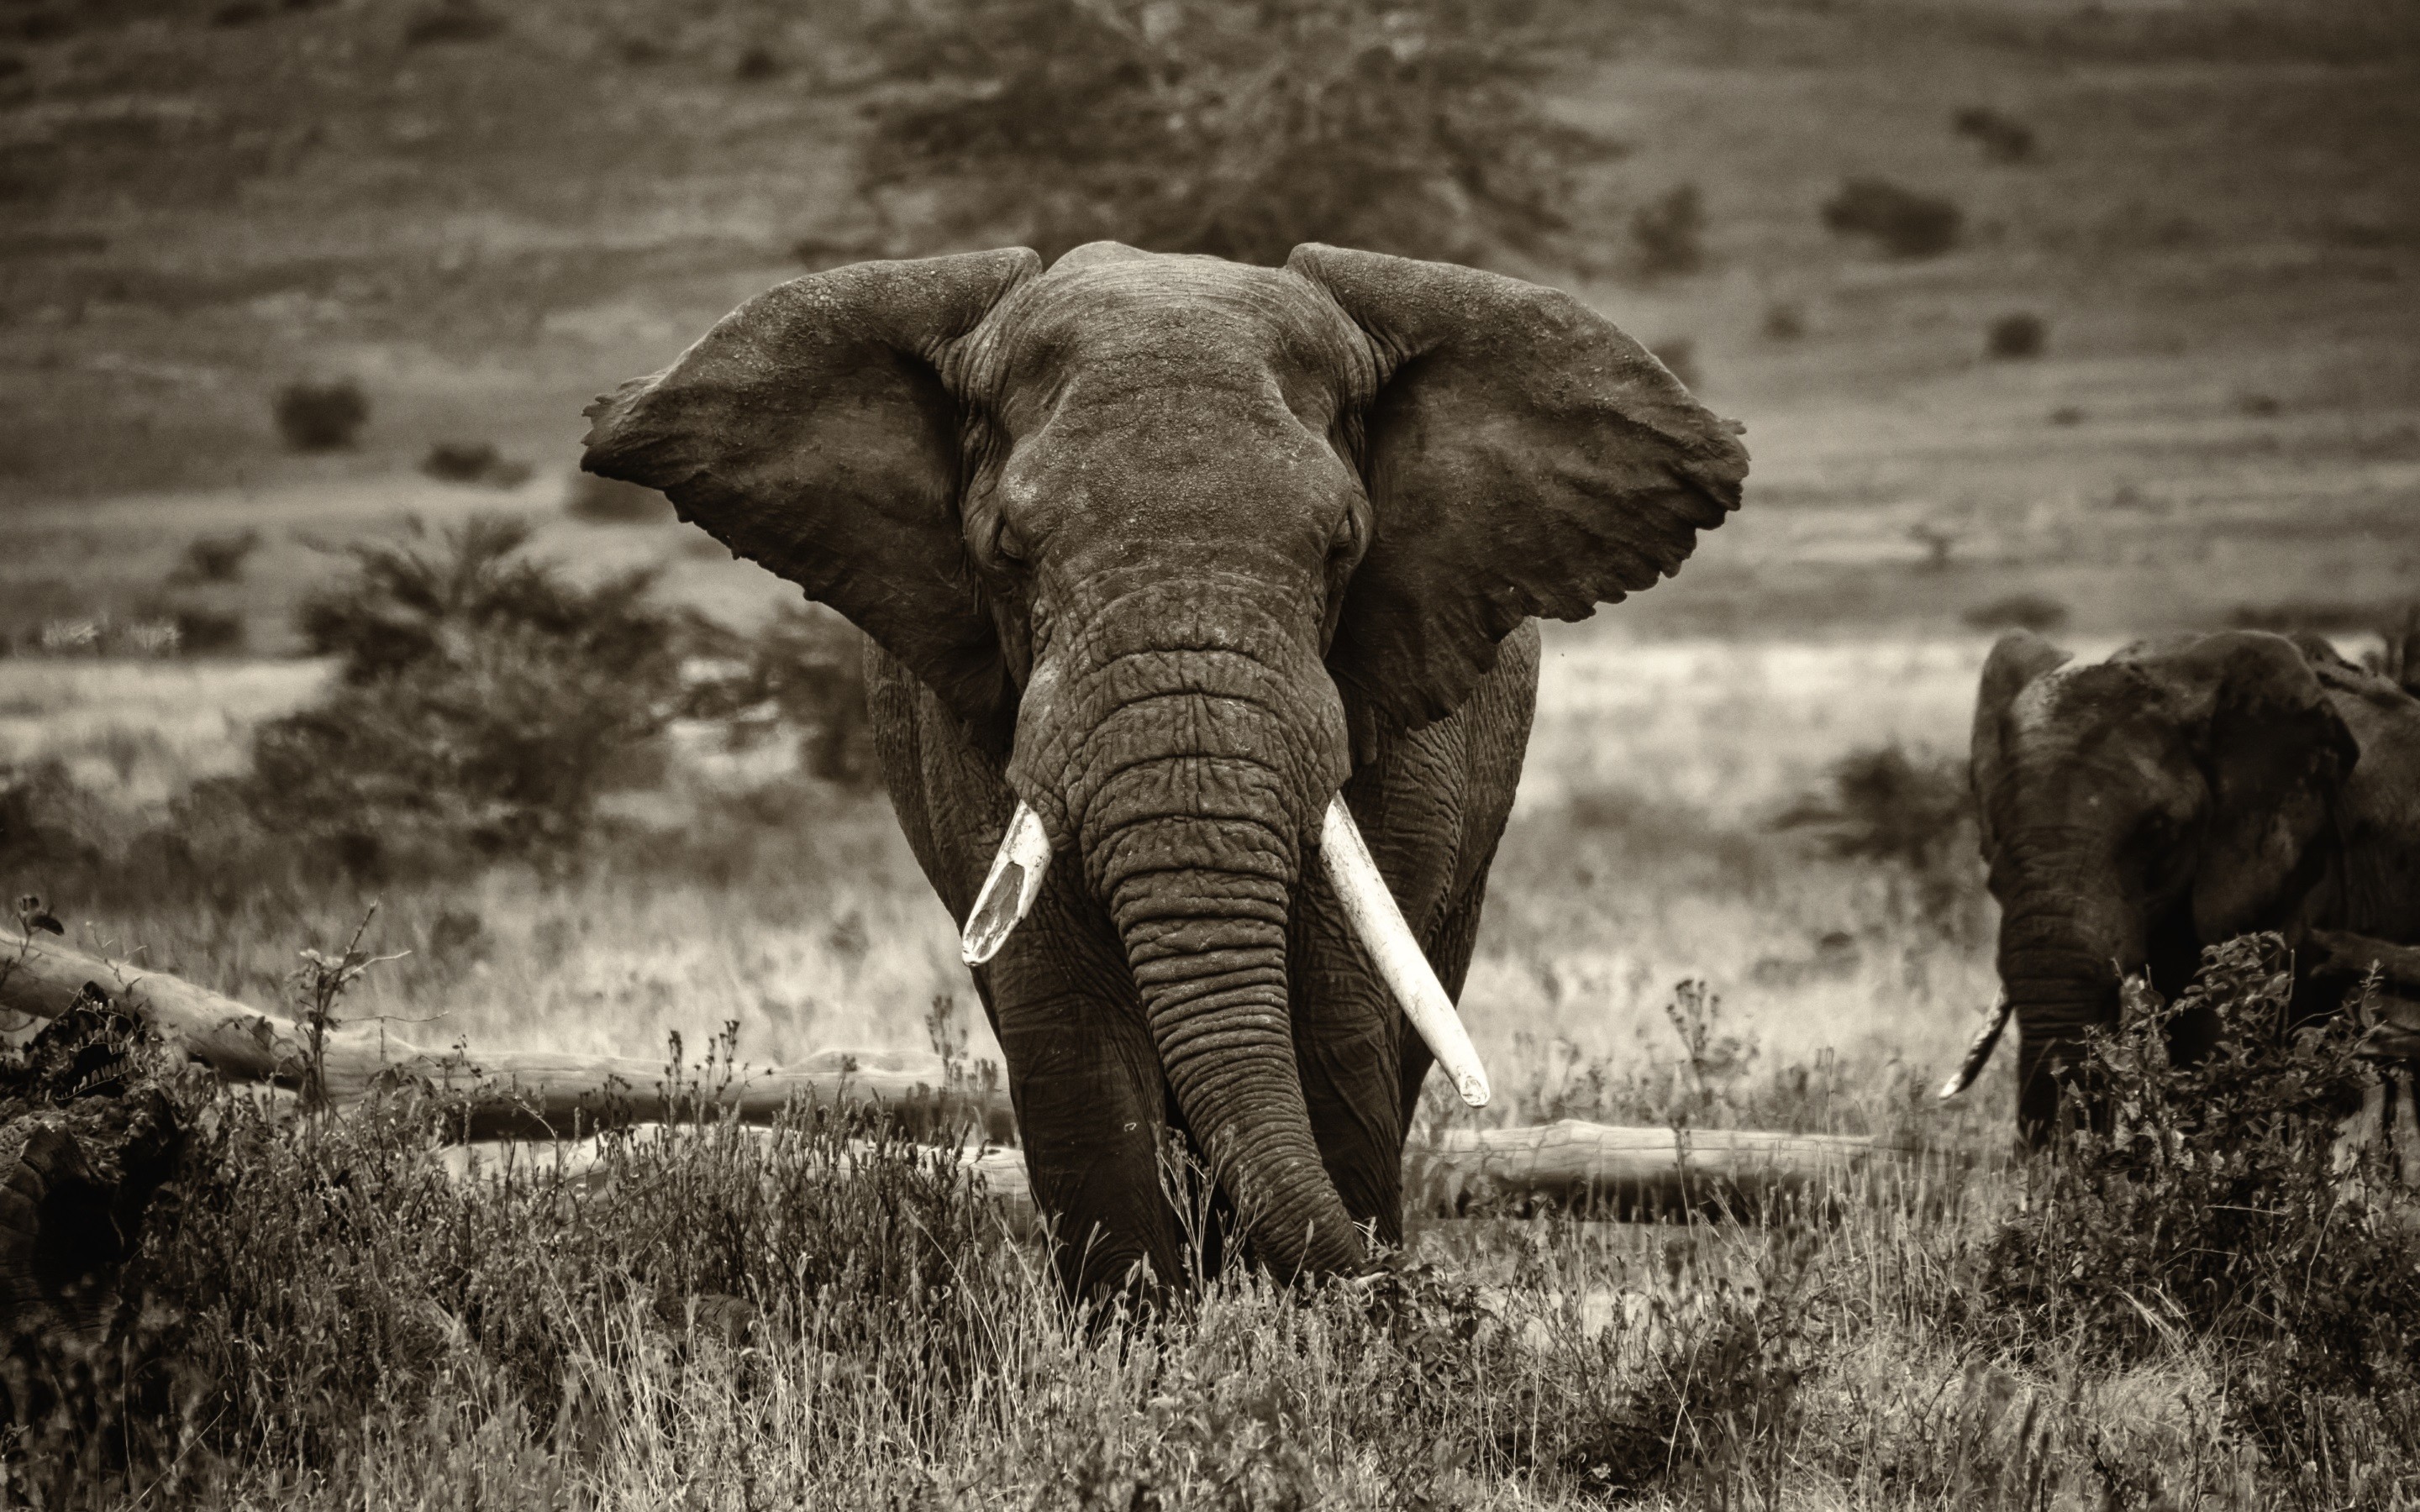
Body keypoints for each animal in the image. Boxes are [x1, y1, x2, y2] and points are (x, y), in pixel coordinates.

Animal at [578, 241, 1748, 1298]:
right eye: (1008, 551)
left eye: (1343, 546)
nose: (1430, 1295)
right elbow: (1071, 1035)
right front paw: (1142, 1354)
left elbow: (1333, 1015)